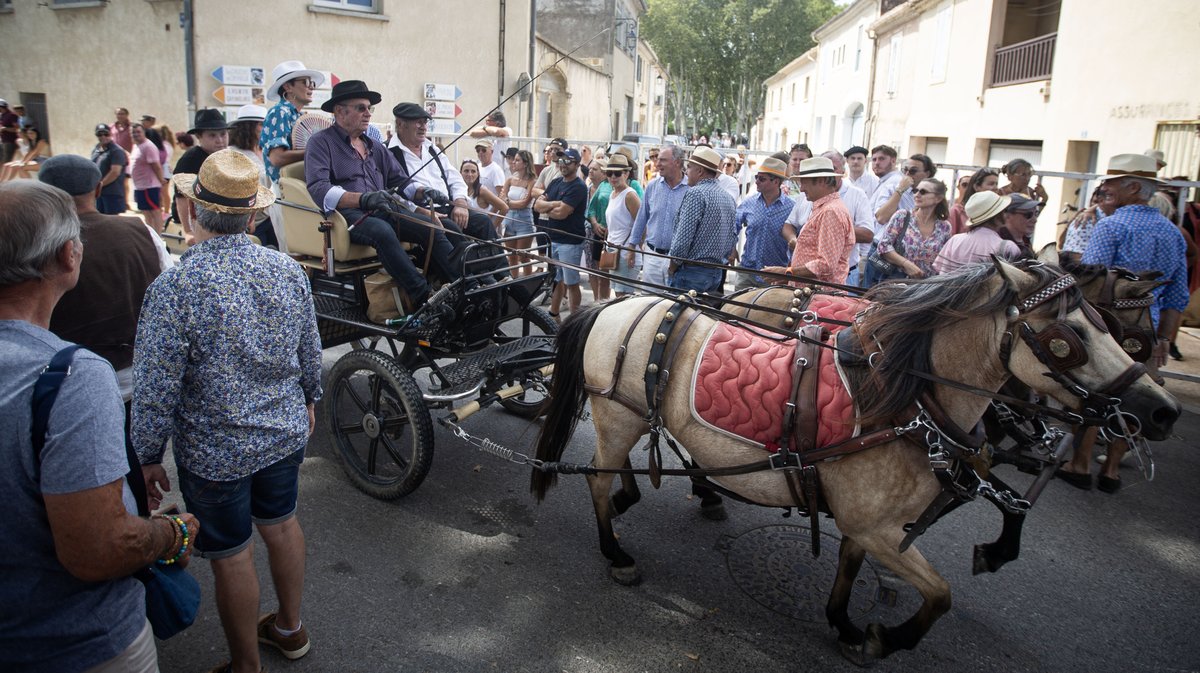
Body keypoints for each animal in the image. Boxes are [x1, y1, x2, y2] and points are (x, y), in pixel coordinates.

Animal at [530, 256, 1176, 662]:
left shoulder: (870, 519)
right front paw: (887, 639)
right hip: (616, 417)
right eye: (1070, 338)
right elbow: (940, 594)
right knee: (596, 482)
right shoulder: (882, 527)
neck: (904, 399)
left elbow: (850, 566)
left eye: (1107, 323)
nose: (1161, 410)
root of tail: (618, 306)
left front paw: (843, 623)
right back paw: (616, 548)